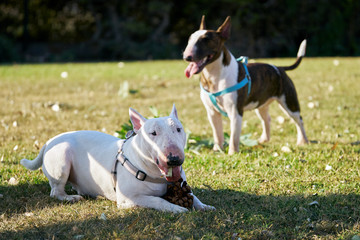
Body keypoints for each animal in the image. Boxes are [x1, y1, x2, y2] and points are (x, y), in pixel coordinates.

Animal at [184, 15, 308, 154]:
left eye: (206, 39)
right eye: (190, 39)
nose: (186, 56)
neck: (213, 75)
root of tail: (280, 68)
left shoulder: (235, 112)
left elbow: (233, 137)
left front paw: (232, 153)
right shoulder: (211, 112)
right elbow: (217, 133)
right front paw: (217, 149)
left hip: (288, 102)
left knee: (299, 119)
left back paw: (303, 141)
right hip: (261, 103)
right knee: (267, 119)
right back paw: (264, 139)